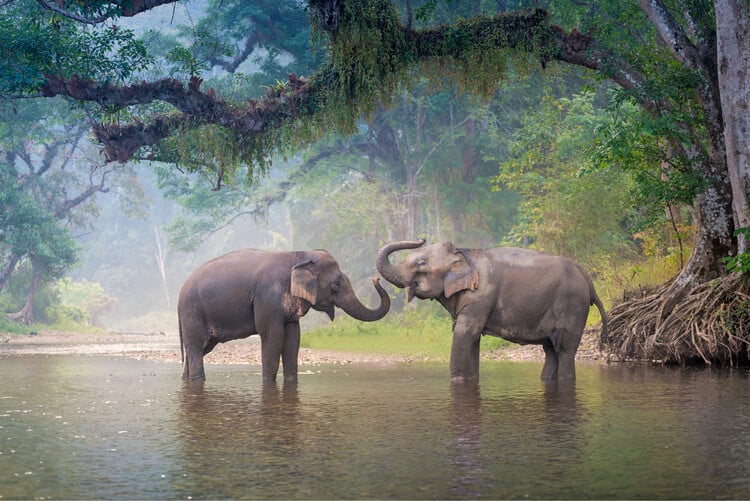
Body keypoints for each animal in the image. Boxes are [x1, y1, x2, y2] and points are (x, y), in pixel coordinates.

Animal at [179, 248, 390, 380]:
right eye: (336, 285)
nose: (376, 279)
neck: (297, 255)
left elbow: (293, 338)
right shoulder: (267, 299)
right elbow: (273, 336)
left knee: (200, 349)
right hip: (193, 312)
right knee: (197, 347)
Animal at [378, 240, 608, 380]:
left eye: (422, 263)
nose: (421, 238)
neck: (464, 253)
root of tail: (588, 280)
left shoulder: (480, 295)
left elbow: (465, 334)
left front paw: (456, 380)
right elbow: (472, 339)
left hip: (572, 306)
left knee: (565, 350)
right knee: (551, 351)